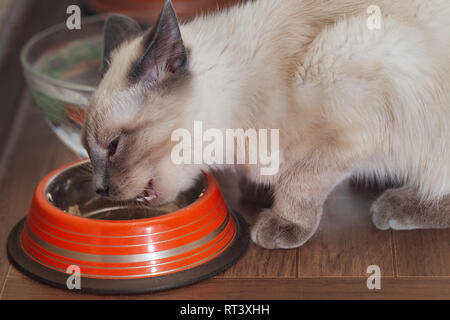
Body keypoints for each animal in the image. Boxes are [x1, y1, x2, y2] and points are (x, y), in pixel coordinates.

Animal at [82, 0, 450, 249]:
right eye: (88, 150)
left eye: (114, 147)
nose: (100, 189)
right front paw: (260, 189)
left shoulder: (349, 126)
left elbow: (300, 181)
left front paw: (283, 221)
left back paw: (395, 204)